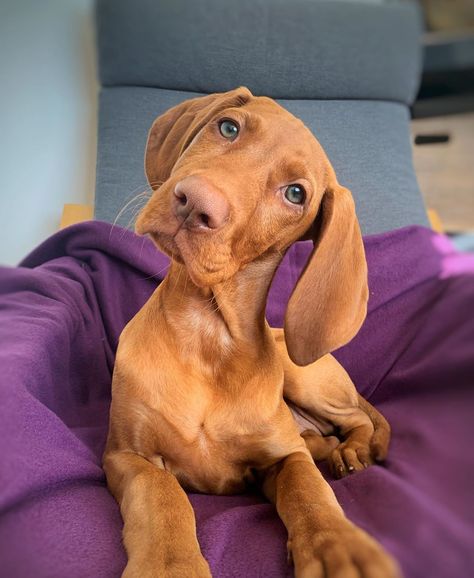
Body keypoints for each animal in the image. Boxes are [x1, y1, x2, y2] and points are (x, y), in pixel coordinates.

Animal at [103, 86, 400, 576]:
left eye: (296, 193)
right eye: (228, 127)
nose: (195, 201)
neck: (206, 333)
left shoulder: (283, 456)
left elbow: (308, 488)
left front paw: (339, 545)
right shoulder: (127, 455)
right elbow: (161, 494)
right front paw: (170, 563)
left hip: (302, 374)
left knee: (355, 418)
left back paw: (353, 450)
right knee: (323, 437)